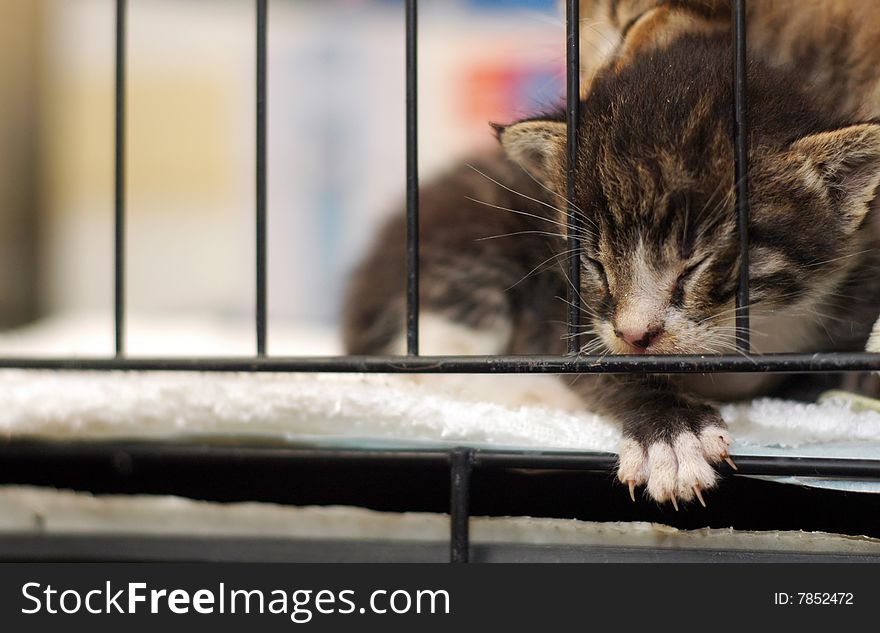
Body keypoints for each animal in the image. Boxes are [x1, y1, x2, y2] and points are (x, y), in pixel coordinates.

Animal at [342, 32, 880, 506]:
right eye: (595, 264)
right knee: (429, 363)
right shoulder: (561, 308)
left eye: (695, 265)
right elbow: (600, 365)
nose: (635, 334)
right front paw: (671, 436)